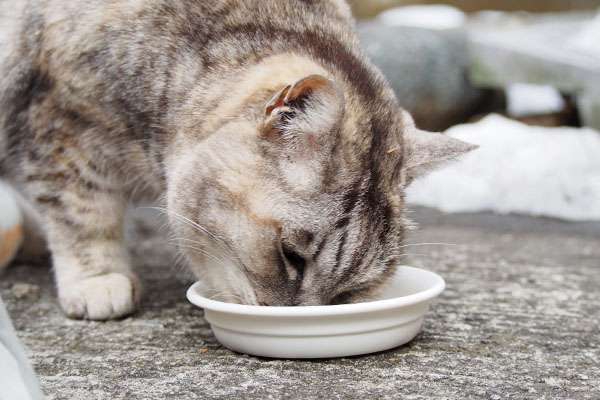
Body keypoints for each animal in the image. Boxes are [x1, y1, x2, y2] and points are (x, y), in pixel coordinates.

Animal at [1, 0, 478, 318]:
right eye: (291, 256)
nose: (297, 320)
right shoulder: (61, 125)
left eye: (349, 293)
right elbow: (83, 213)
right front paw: (97, 281)